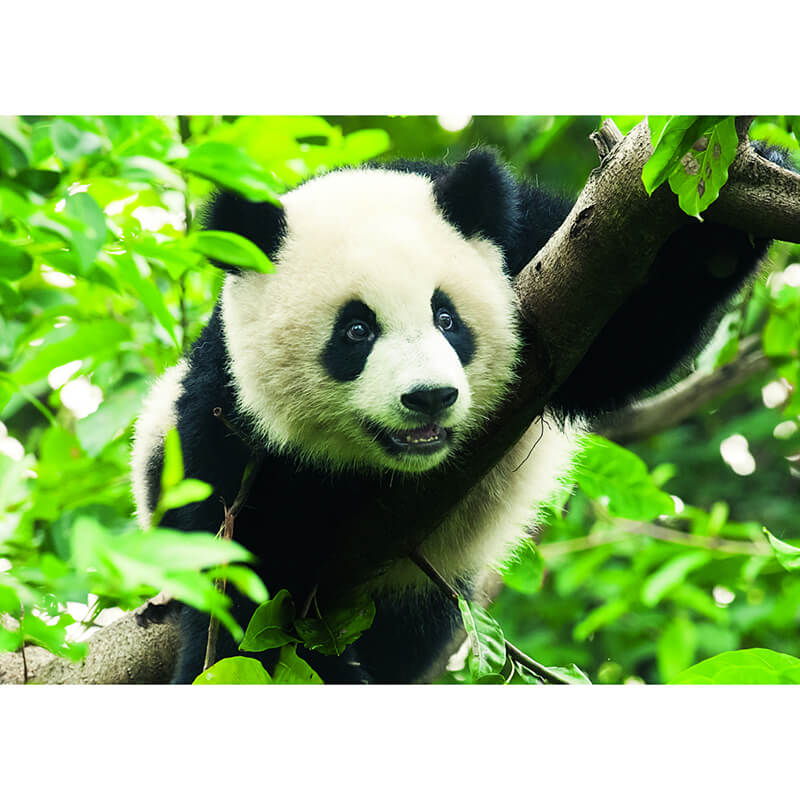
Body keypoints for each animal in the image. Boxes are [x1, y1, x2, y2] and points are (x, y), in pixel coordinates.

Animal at [131, 145, 789, 684]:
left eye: (446, 317)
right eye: (356, 330)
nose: (428, 397)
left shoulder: (536, 250)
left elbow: (625, 341)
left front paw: (735, 202)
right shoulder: (226, 422)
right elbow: (242, 580)